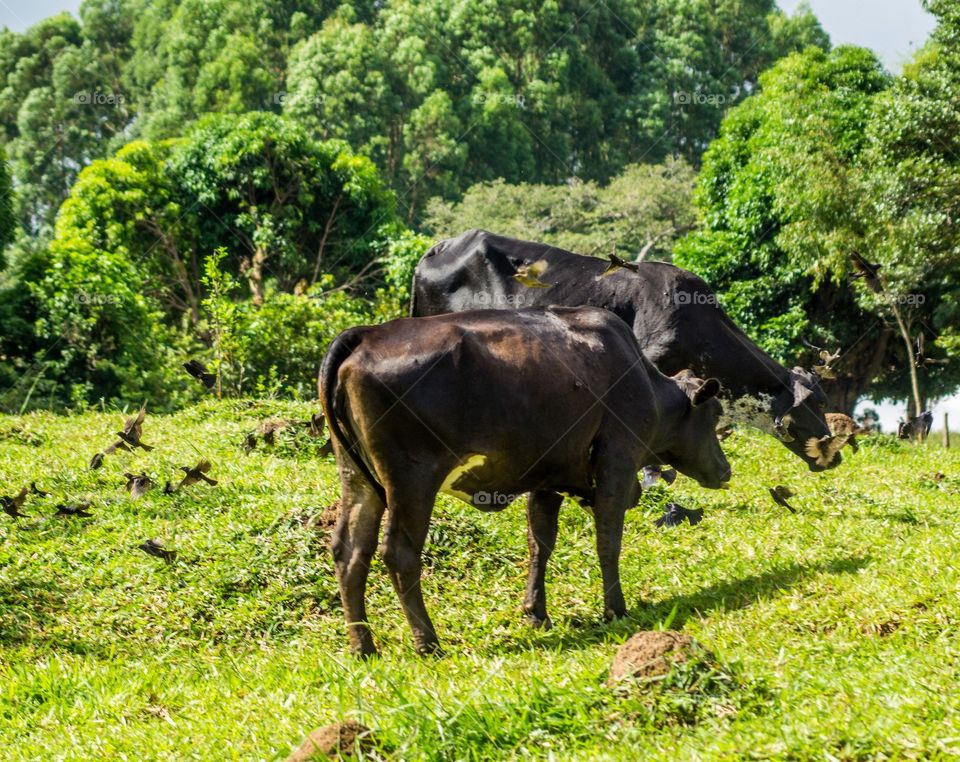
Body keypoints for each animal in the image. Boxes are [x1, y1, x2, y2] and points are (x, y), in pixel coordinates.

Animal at [319, 306, 731, 656]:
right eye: (713, 414)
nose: (725, 470)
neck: (642, 378)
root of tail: (366, 335)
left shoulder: (549, 476)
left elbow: (540, 543)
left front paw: (536, 611)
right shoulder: (619, 459)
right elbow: (608, 541)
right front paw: (615, 609)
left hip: (358, 479)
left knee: (350, 551)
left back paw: (363, 646)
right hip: (412, 481)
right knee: (399, 553)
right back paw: (427, 642)